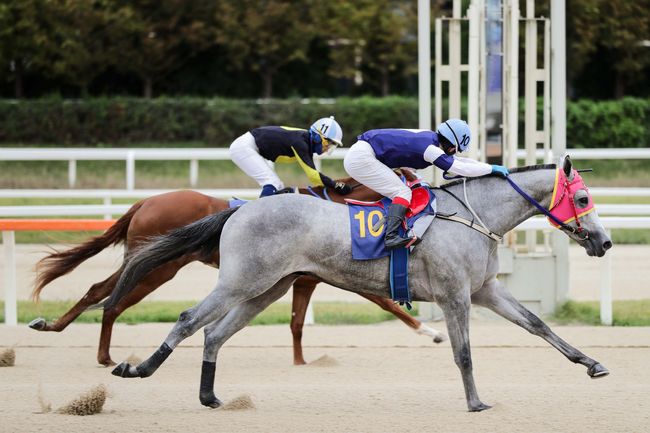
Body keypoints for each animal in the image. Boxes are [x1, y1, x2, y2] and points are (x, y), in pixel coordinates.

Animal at [30, 175, 446, 364]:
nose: (426, 195)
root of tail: (145, 201)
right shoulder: (334, 275)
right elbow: (387, 305)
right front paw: (432, 332)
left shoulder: (305, 279)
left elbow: (297, 321)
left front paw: (300, 361)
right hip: (160, 268)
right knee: (112, 298)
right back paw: (103, 354)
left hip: (152, 260)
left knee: (99, 290)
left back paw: (56, 328)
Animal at [109, 156, 612, 412]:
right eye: (583, 198)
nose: (604, 241)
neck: (473, 215)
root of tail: (242, 208)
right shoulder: (455, 295)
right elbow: (464, 351)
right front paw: (475, 402)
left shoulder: (485, 289)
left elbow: (538, 325)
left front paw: (592, 364)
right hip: (241, 281)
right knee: (188, 319)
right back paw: (136, 369)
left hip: (268, 287)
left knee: (214, 332)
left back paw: (210, 396)